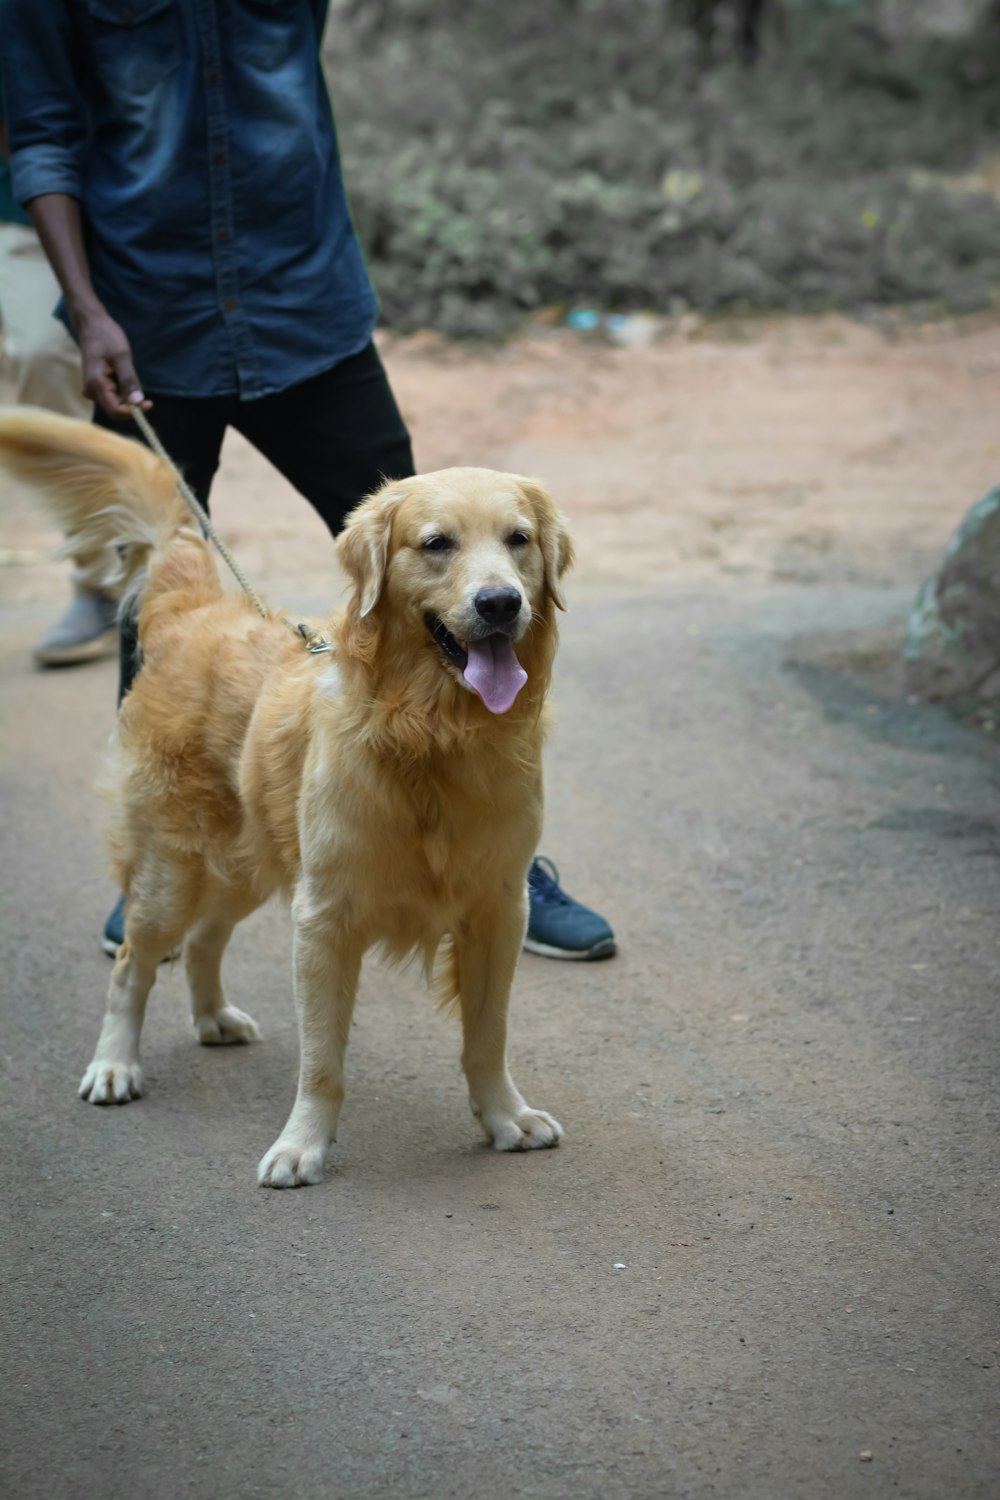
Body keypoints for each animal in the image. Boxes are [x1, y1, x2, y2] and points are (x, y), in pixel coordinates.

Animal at [0, 408, 575, 1182]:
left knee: (206, 939)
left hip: (248, 861)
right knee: (133, 966)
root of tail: (196, 611)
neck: (429, 734)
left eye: (518, 540)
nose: (501, 603)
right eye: (436, 544)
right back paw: (115, 1065)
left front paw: (506, 1117)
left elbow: (487, 1035)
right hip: (171, 871)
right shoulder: (325, 915)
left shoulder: (497, 907)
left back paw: (213, 1017)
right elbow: (323, 1060)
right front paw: (302, 1145)